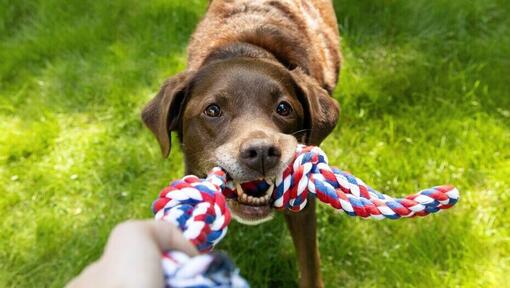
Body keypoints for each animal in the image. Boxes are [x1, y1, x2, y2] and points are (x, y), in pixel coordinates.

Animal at [141, 1, 340, 286]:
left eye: (284, 108)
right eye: (213, 110)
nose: (262, 152)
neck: (244, 46)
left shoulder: (302, 208)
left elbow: (310, 266)